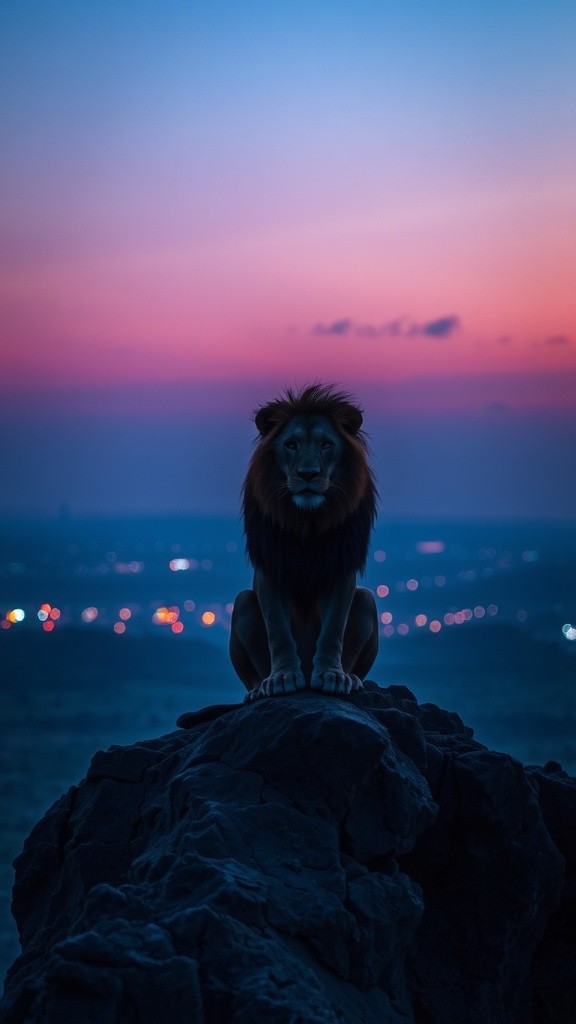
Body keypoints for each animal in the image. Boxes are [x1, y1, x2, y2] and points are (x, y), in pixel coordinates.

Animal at [229, 383, 378, 700]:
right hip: (243, 602)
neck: (307, 523)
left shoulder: (341, 568)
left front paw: (333, 676)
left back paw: (350, 678)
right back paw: (258, 688)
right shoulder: (269, 568)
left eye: (326, 444)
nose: (308, 474)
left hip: (366, 600)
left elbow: (333, 630)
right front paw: (282, 678)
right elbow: (278, 632)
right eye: (291, 444)